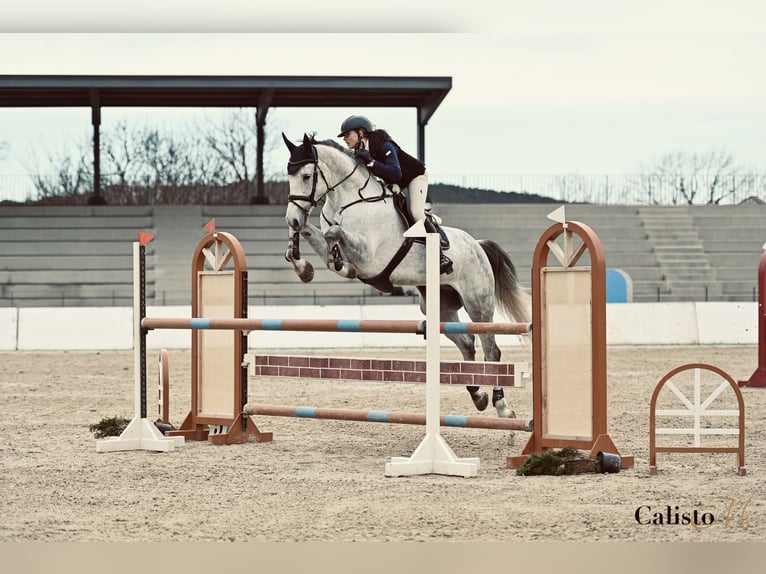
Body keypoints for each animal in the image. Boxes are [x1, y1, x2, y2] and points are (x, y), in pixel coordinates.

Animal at [284, 135, 536, 418]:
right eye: (288, 175)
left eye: (306, 176)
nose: (292, 218)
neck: (349, 200)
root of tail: (478, 245)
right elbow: (317, 236)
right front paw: (304, 266)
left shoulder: (369, 257)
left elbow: (333, 235)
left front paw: (339, 265)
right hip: (439, 306)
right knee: (467, 342)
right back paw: (477, 395)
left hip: (478, 303)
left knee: (491, 349)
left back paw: (502, 406)